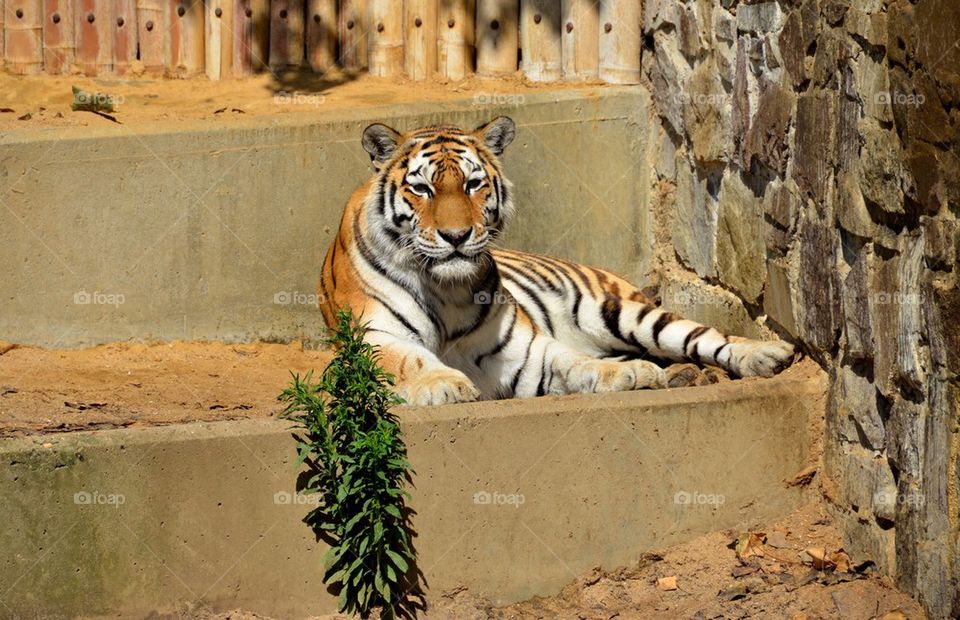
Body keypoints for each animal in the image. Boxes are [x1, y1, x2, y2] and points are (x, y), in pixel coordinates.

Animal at [319, 116, 796, 406]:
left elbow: (573, 362)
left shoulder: (521, 352)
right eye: (423, 189)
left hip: (620, 312)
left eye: (473, 184)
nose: (456, 237)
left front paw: (630, 376)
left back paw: (763, 355)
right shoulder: (374, 336)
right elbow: (410, 359)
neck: (447, 289)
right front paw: (446, 384)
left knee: (700, 334)